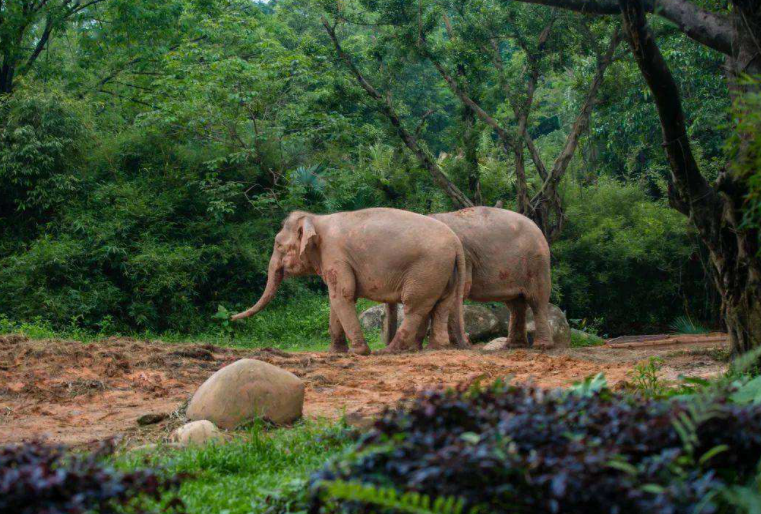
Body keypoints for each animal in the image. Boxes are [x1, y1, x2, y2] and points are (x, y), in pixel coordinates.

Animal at [230, 207, 470, 352]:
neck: (315, 218)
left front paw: (358, 352)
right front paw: (335, 352)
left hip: (426, 269)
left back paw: (390, 351)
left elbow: (342, 296)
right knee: (441, 305)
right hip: (444, 271)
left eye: (279, 245)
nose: (232, 317)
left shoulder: (335, 255)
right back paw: (433, 348)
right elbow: (336, 299)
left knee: (414, 307)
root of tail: (456, 242)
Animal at [382, 205, 548, 348]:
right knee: (515, 304)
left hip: (537, 264)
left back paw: (541, 346)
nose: (386, 344)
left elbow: (458, 293)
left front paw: (458, 345)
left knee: (537, 300)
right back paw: (513, 346)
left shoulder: (463, 257)